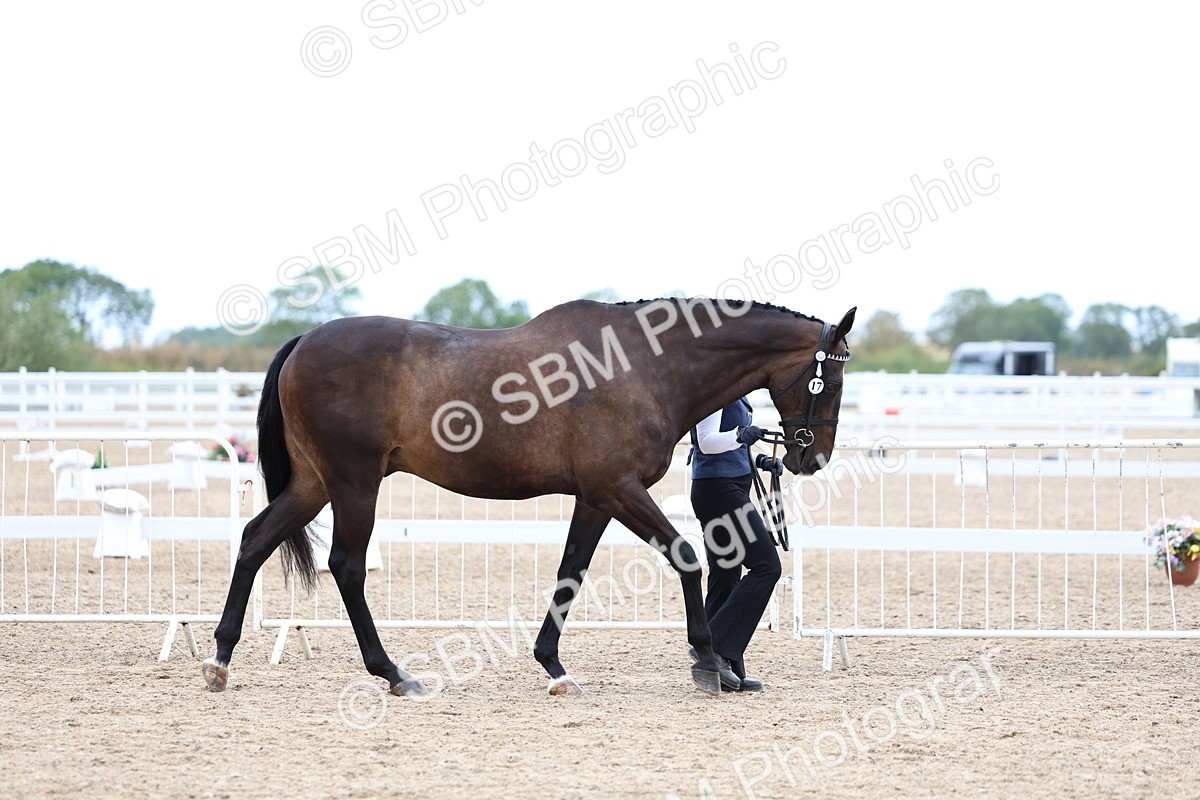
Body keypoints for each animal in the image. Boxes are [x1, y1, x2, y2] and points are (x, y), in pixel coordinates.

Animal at [202, 297, 855, 697]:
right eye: (831, 379)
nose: (810, 457)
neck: (644, 366)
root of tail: (306, 340)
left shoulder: (595, 498)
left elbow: (571, 572)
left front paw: (553, 665)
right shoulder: (619, 488)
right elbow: (688, 558)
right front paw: (710, 662)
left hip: (315, 484)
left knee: (255, 539)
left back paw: (221, 659)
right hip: (353, 484)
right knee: (346, 566)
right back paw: (392, 673)